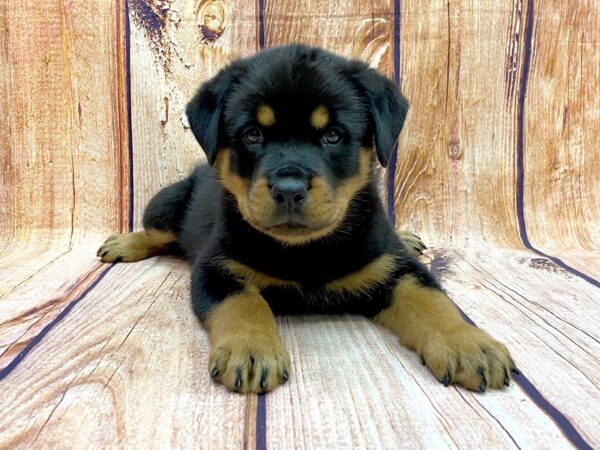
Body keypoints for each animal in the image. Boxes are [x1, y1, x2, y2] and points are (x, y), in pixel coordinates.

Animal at [98, 44, 516, 392]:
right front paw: (251, 350)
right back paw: (124, 243)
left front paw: (468, 345)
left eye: (333, 135)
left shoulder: (392, 267)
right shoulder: (216, 266)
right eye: (252, 135)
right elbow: (242, 303)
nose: (288, 188)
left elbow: (431, 300)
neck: (306, 252)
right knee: (156, 231)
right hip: (167, 202)